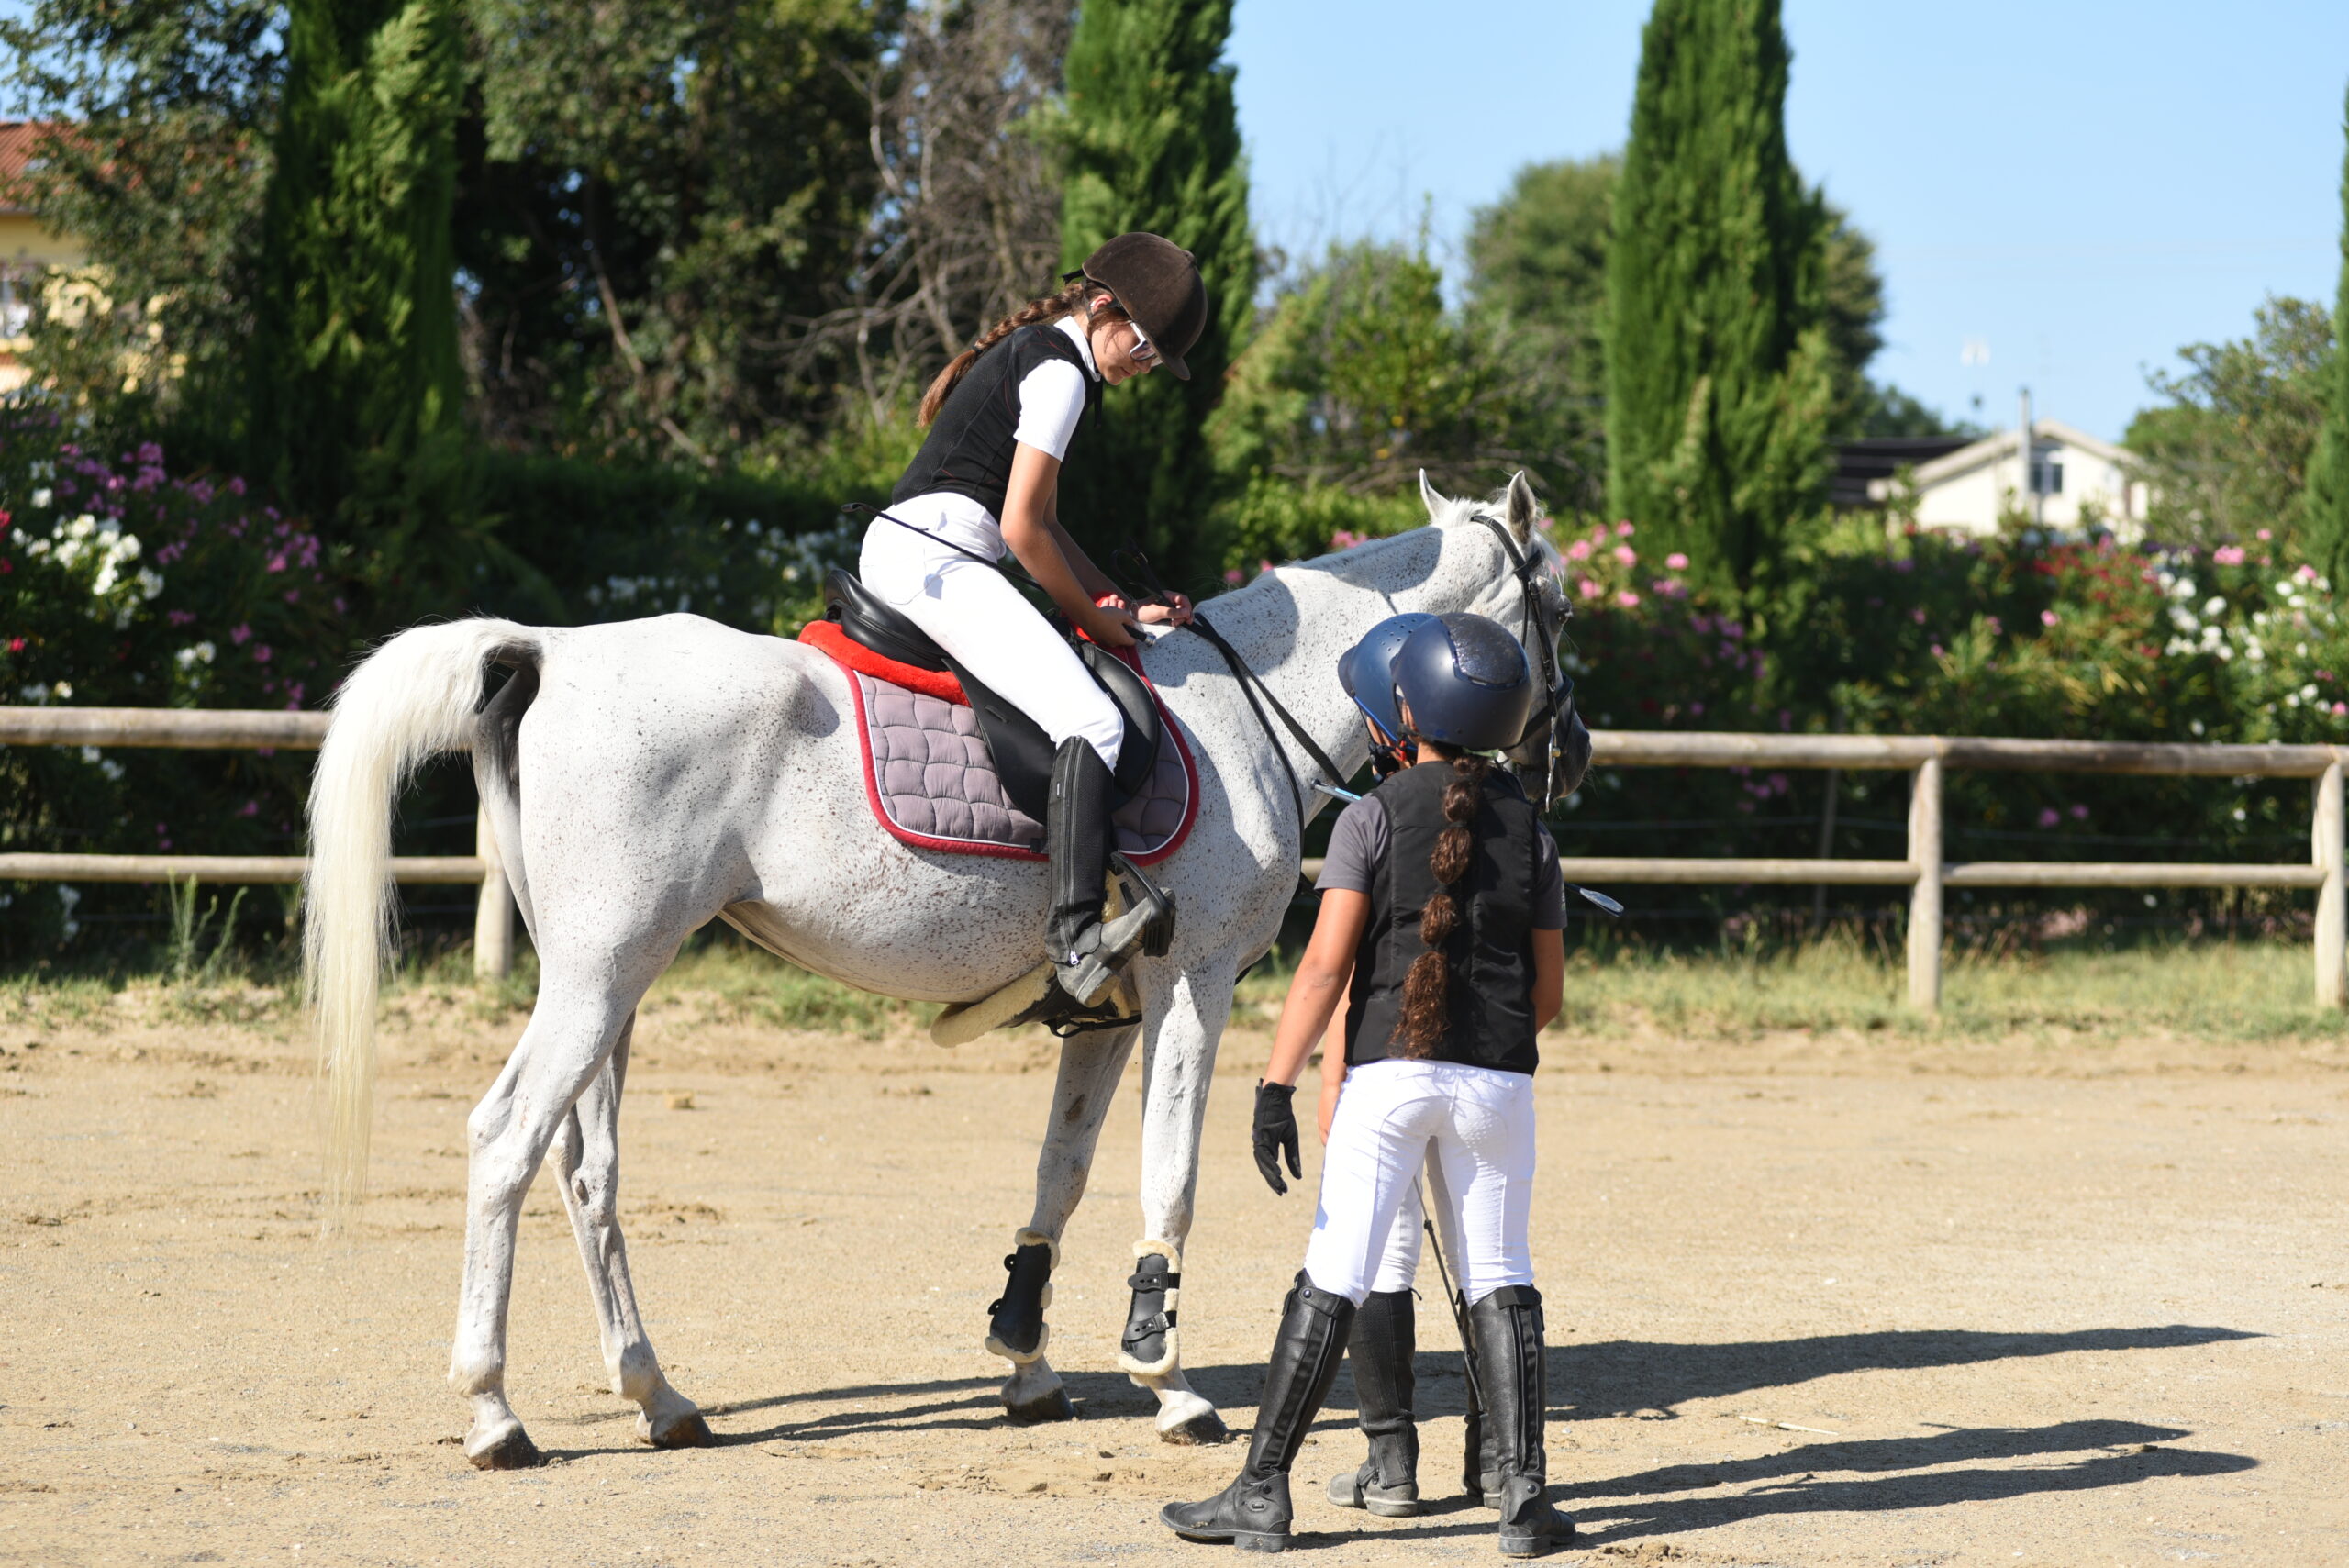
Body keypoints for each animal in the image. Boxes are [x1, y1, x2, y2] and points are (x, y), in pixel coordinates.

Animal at [306, 473, 1569, 1468]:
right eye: (1557, 603)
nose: (1566, 761)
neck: (1248, 708)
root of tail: (549, 646)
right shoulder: (1193, 983)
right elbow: (1168, 1174)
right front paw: (1165, 1379)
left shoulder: (1106, 1010)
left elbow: (1062, 1172)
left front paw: (1026, 1357)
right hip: (600, 975)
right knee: (505, 1140)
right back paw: (494, 1412)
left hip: (608, 984)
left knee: (585, 1170)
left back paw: (658, 1395)